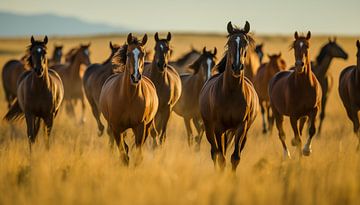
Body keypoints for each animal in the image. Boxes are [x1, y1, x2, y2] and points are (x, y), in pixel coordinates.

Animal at [100, 33, 159, 165]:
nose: (135, 77)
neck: (129, 98)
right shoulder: (116, 127)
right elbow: (124, 155)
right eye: (128, 54)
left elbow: (138, 154)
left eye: (143, 54)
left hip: (147, 126)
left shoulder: (140, 127)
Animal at [198, 21, 258, 171]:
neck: (231, 93)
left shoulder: (241, 127)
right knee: (214, 153)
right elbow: (221, 158)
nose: (236, 67)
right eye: (230, 42)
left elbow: (235, 158)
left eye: (245, 42)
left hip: (242, 132)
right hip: (209, 129)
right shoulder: (218, 128)